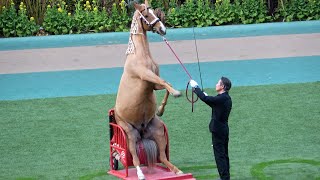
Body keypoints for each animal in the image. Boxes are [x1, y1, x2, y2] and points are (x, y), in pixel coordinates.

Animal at [114, 0, 182, 179]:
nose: (163, 29)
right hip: (129, 134)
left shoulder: (153, 84)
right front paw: (177, 93)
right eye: (146, 14)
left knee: (162, 157)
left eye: (154, 12)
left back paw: (176, 170)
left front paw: (161, 109)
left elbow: (166, 84)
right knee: (133, 156)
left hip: (157, 131)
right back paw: (140, 173)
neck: (139, 55)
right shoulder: (146, 77)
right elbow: (164, 82)